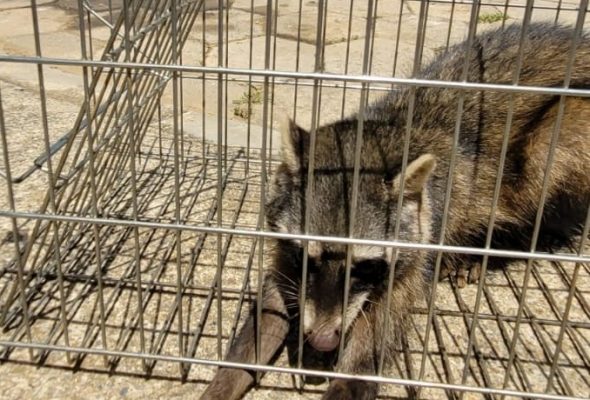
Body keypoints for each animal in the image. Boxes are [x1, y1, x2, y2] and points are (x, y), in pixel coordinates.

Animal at [200, 23, 590, 400]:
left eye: (364, 266)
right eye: (307, 257)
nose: (322, 340)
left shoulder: (412, 253)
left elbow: (370, 345)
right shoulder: (286, 241)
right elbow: (270, 304)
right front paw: (226, 379)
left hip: (564, 130)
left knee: (543, 172)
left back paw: (500, 244)